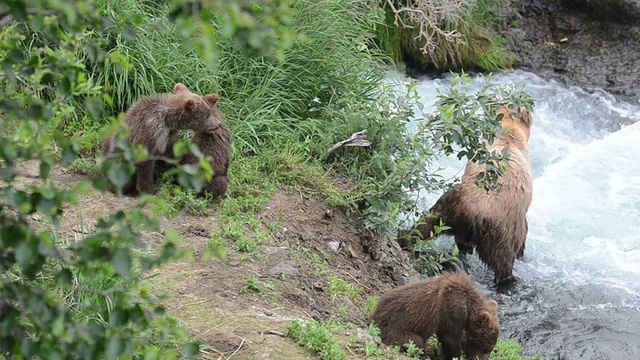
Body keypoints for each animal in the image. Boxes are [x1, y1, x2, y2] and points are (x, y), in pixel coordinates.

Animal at [370, 272, 500, 358]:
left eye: (490, 347)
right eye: (485, 347)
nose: (482, 357)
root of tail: (374, 317)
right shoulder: (452, 310)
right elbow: (450, 338)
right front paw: (455, 355)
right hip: (397, 329)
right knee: (416, 342)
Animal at [402, 105, 532, 286]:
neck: (508, 134)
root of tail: (473, 213)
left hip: (449, 207)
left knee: (425, 226)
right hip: (501, 230)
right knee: (503, 261)